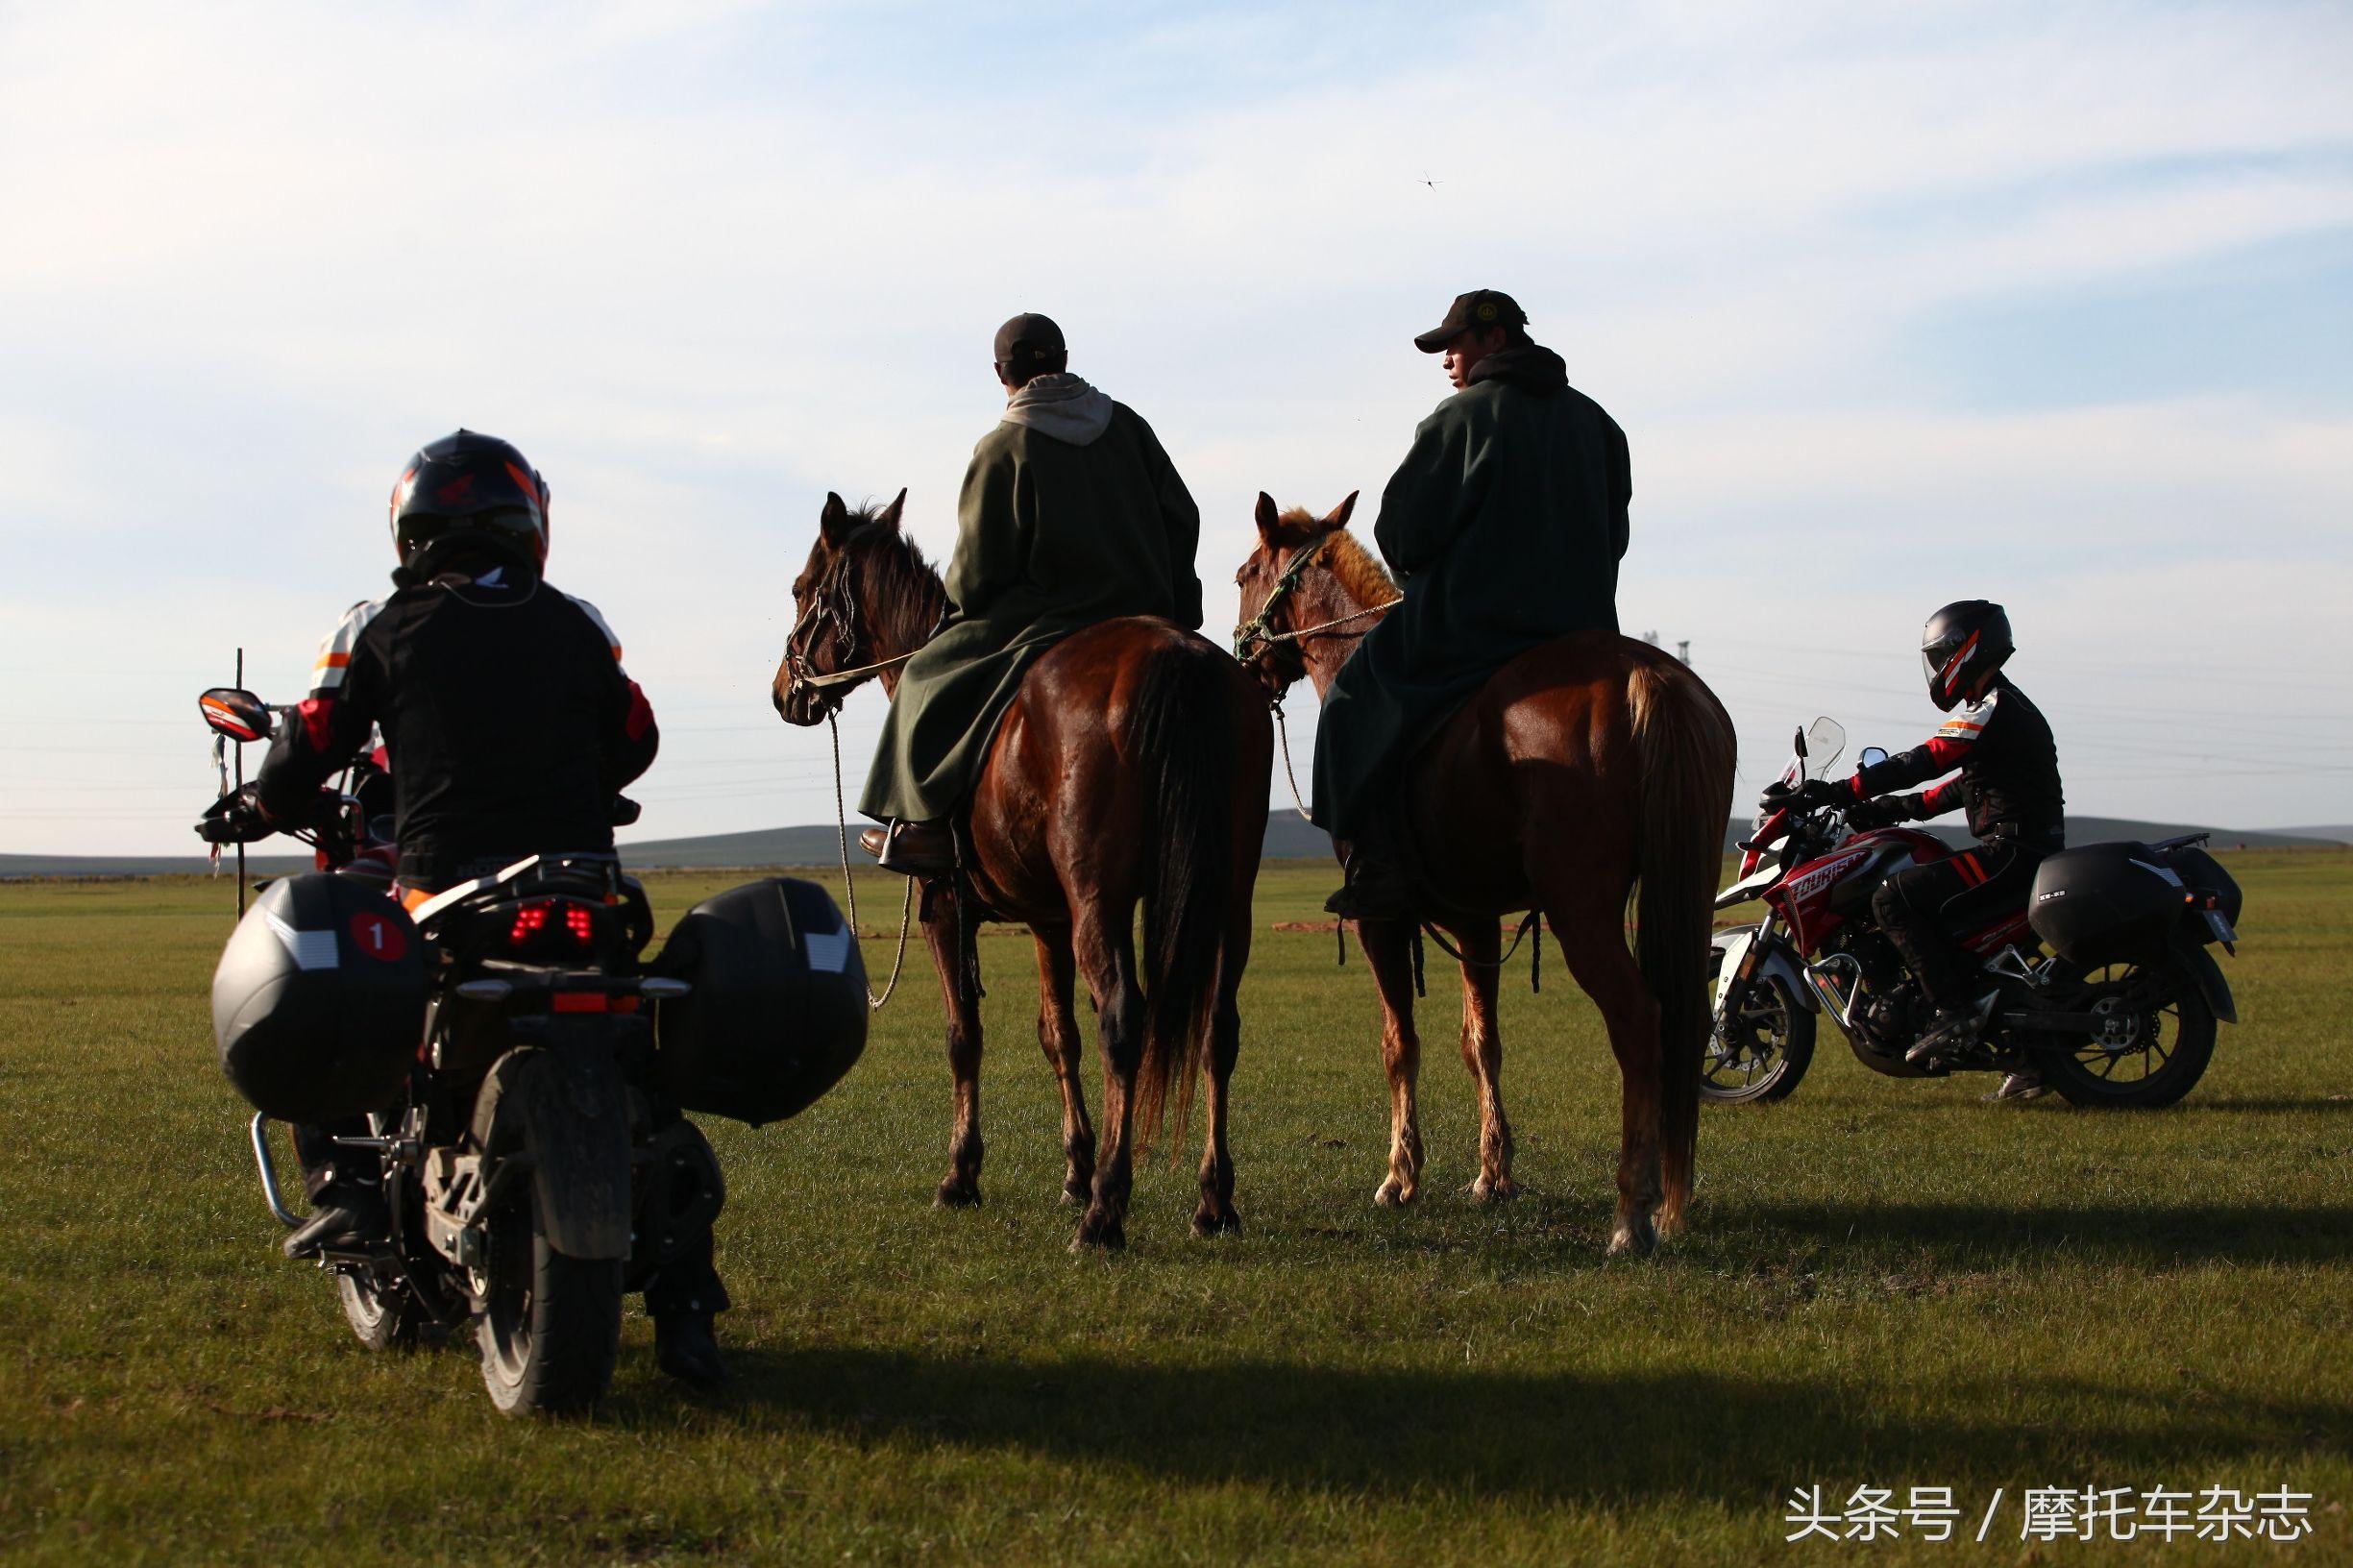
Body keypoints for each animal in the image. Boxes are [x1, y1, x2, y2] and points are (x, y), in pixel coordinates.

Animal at [772, 492, 1270, 1242]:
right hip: (1225, 898)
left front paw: (961, 1175)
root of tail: (1176, 659)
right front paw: (1073, 1167)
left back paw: (1105, 1211)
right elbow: (1057, 1035)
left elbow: (963, 1036)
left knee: (1124, 1018)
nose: (785, 692)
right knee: (1217, 1026)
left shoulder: (946, 907)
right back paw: (1212, 1200)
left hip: (1100, 900)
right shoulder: (1047, 920)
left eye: (803, 589)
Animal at [1242, 494, 1741, 1252]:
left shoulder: (1379, 918)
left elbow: (1399, 1044)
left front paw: (1400, 1177)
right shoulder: (1475, 922)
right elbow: (1481, 1043)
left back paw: (1631, 1211)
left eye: (1243, 573)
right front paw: (1492, 1174)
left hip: (1579, 910)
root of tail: (1648, 675)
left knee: (1638, 1020)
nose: (1242, 655)